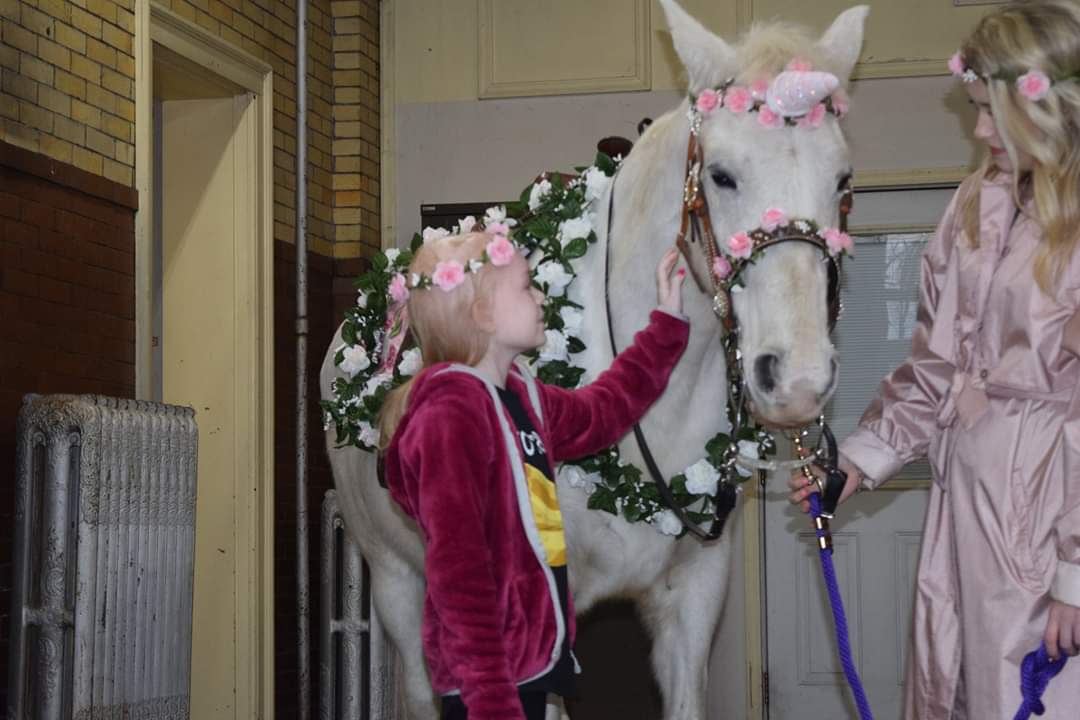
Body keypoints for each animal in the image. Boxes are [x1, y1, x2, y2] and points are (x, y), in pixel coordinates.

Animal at [319, 2, 868, 716]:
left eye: (843, 180)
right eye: (721, 174)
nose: (797, 379)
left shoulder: (694, 597)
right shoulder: (552, 614)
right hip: (394, 582)